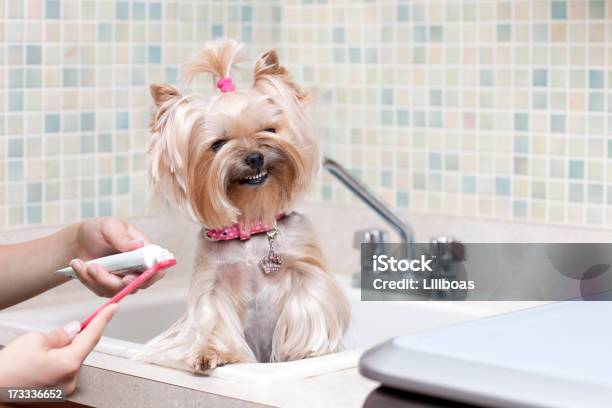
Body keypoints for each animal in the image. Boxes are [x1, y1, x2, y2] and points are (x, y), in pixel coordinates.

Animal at [139, 39, 350, 372]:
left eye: (270, 130)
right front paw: (210, 353)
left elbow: (308, 303)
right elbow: (213, 319)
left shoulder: (305, 267)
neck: (252, 225)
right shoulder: (212, 282)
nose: (255, 157)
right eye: (218, 144)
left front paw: (305, 351)